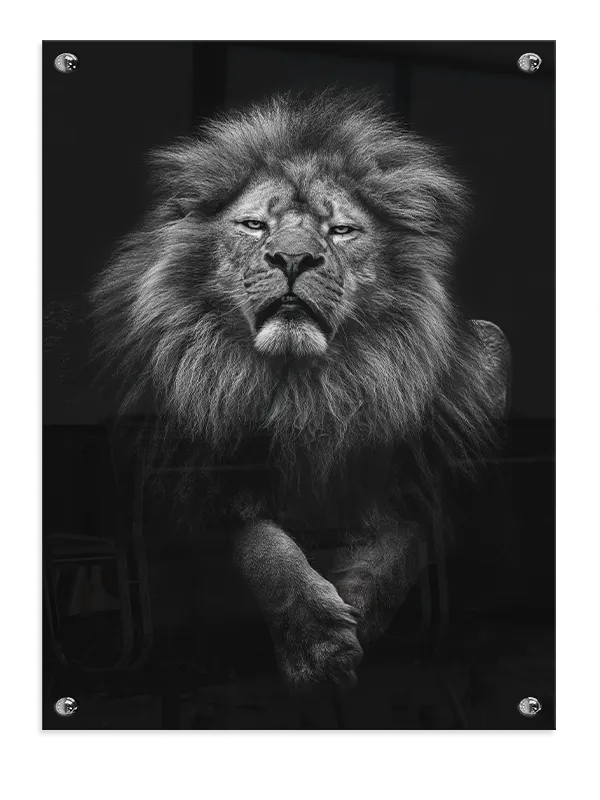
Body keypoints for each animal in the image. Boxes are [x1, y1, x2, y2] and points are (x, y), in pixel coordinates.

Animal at [91, 90, 510, 694]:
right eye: (253, 225)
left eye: (341, 231)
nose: (292, 259)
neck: (303, 389)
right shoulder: (188, 484)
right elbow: (262, 548)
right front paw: (318, 643)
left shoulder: (419, 479)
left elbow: (401, 548)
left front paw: (356, 613)